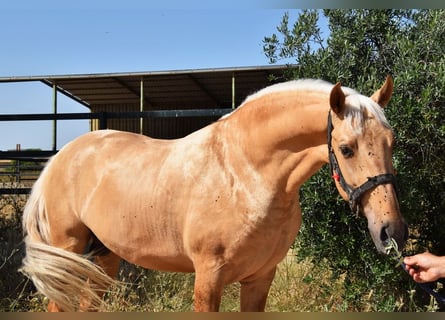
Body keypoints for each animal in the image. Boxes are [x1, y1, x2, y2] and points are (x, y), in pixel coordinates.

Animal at [22, 76, 408, 312]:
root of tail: (61, 157)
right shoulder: (209, 277)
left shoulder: (259, 279)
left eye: (392, 143)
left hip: (105, 256)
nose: (392, 231)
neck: (246, 173)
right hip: (68, 248)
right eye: (346, 149)